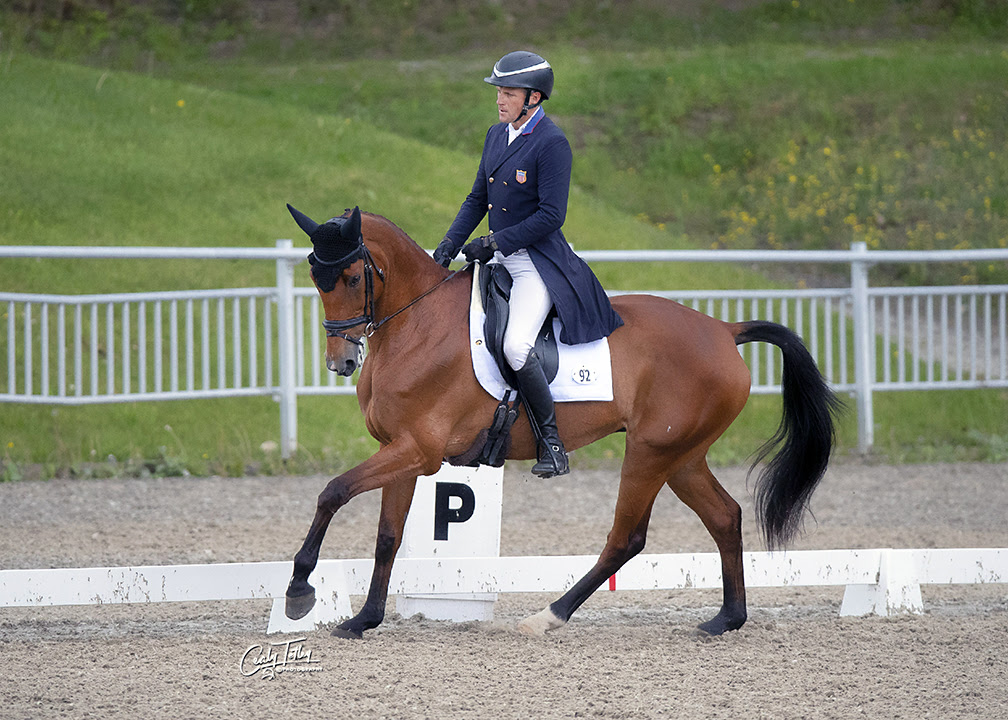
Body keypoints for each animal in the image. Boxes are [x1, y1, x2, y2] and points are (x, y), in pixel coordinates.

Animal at [280, 204, 838, 637]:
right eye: (315, 279)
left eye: (353, 278)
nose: (340, 362)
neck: (416, 325)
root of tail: (724, 329)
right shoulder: (401, 450)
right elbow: (387, 536)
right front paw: (364, 620)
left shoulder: (418, 449)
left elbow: (332, 491)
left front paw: (300, 589)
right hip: (682, 457)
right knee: (724, 516)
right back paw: (726, 619)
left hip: (650, 453)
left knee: (626, 539)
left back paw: (548, 616)